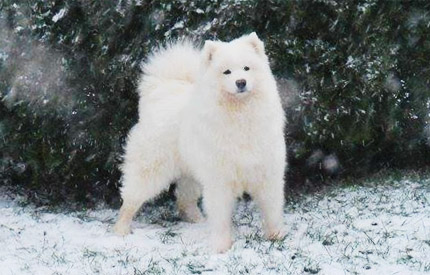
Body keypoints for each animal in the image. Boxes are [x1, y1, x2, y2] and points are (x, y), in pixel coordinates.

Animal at [114, 31, 286, 252]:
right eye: (227, 72)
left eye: (247, 68)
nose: (241, 82)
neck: (240, 115)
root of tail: (162, 92)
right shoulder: (219, 180)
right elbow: (221, 217)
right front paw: (221, 246)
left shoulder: (267, 174)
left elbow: (272, 209)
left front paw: (276, 235)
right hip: (150, 170)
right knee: (130, 199)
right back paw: (120, 229)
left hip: (190, 172)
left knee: (184, 199)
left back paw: (197, 220)